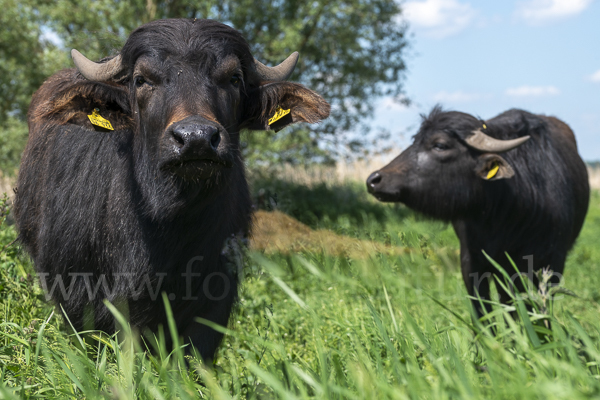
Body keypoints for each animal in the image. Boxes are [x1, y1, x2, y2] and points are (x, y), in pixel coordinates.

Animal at [368, 106, 588, 316]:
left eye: (440, 145)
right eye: (415, 141)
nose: (373, 180)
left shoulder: (550, 264)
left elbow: (539, 309)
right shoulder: (472, 262)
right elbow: (483, 310)